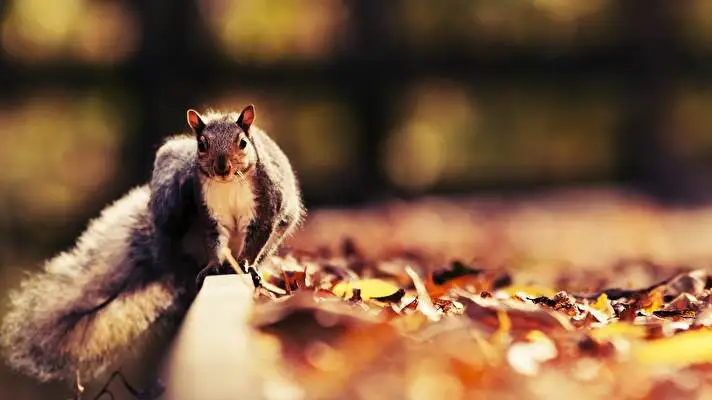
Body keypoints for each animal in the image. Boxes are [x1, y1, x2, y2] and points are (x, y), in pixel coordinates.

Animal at [0, 104, 305, 385]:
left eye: (242, 143)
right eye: (202, 144)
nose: (222, 167)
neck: (228, 183)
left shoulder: (266, 204)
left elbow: (258, 235)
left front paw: (246, 265)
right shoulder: (208, 212)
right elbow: (215, 242)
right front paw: (214, 265)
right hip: (173, 213)